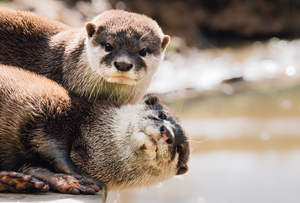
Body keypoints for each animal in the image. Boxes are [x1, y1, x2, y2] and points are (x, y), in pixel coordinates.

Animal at [0, 66, 190, 199]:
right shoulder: (52, 110)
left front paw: (64, 181)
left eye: (179, 148)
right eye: (162, 115)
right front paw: (77, 175)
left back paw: (16, 182)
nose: (167, 133)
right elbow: (49, 142)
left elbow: (34, 166)